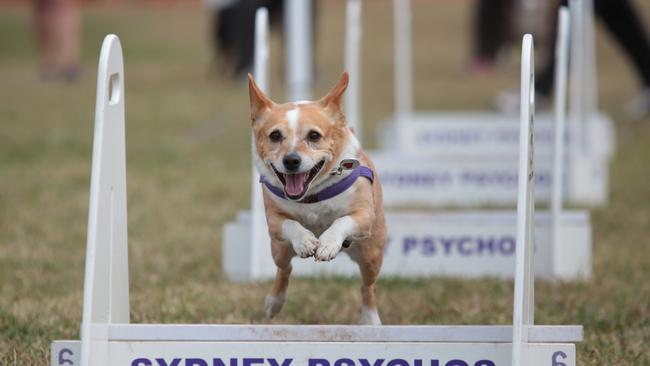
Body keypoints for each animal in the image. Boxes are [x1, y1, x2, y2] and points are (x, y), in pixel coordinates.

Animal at [248, 72, 384, 326]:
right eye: (275, 136)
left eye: (314, 136)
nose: (291, 160)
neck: (312, 194)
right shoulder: (274, 221)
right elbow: (291, 224)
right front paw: (306, 242)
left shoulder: (363, 216)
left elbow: (341, 221)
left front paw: (327, 245)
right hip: (279, 250)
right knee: (284, 270)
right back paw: (274, 302)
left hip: (372, 255)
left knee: (367, 286)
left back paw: (370, 319)